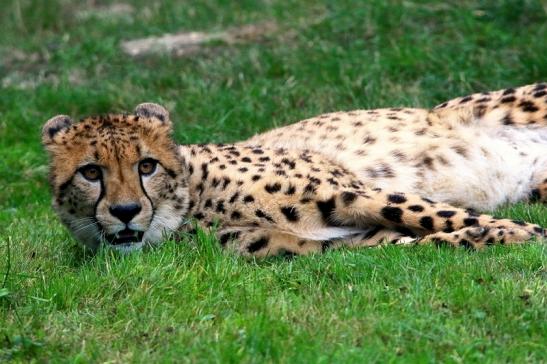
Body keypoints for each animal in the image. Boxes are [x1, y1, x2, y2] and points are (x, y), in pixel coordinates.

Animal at [42, 83, 547, 255]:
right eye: (91, 173)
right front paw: (485, 237)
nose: (126, 212)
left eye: (146, 165)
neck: (192, 208)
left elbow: (436, 214)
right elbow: (410, 241)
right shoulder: (324, 245)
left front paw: (522, 233)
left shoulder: (354, 192)